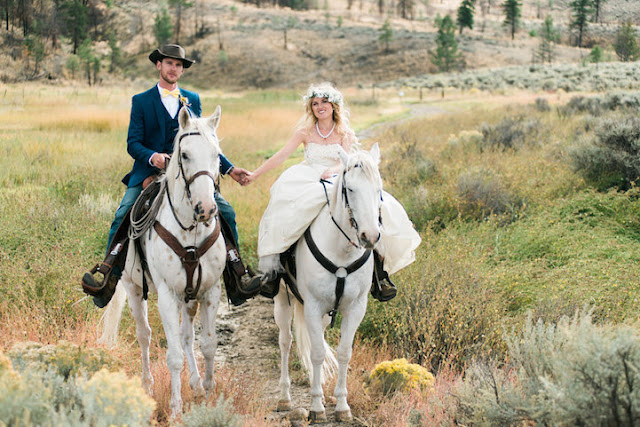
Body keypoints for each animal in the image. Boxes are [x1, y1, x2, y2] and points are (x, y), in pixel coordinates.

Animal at [99, 106, 229, 418]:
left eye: (217, 154)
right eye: (185, 155)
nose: (206, 209)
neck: (191, 230)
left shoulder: (210, 291)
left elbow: (208, 344)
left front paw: (209, 395)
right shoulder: (168, 296)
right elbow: (173, 356)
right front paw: (176, 409)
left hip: (188, 298)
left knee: (186, 336)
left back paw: (195, 383)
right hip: (134, 289)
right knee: (144, 335)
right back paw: (146, 387)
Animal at [272, 144, 382, 422]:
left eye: (379, 188)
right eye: (349, 189)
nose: (370, 236)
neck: (342, 251)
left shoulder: (356, 307)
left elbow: (343, 352)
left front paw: (341, 405)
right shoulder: (312, 306)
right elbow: (317, 352)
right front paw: (316, 407)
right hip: (283, 301)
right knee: (285, 341)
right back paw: (285, 397)